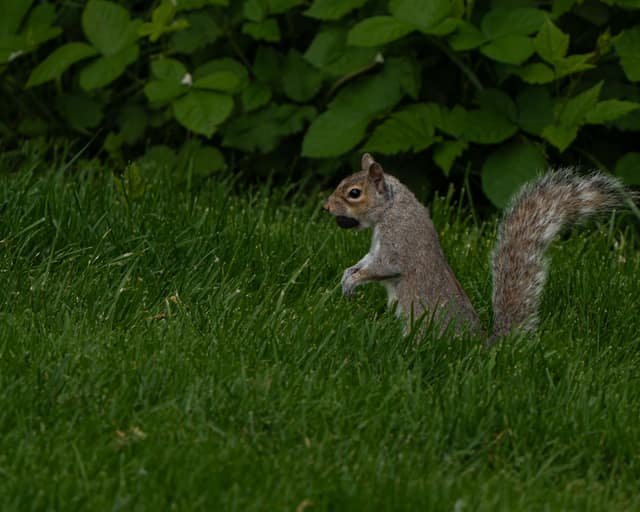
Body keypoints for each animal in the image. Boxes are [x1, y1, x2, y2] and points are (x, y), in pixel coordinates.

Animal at [323, 153, 626, 345]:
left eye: (354, 193)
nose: (326, 207)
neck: (391, 207)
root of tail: (479, 346)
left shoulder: (398, 244)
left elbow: (384, 266)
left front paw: (354, 281)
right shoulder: (375, 248)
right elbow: (365, 261)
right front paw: (347, 275)